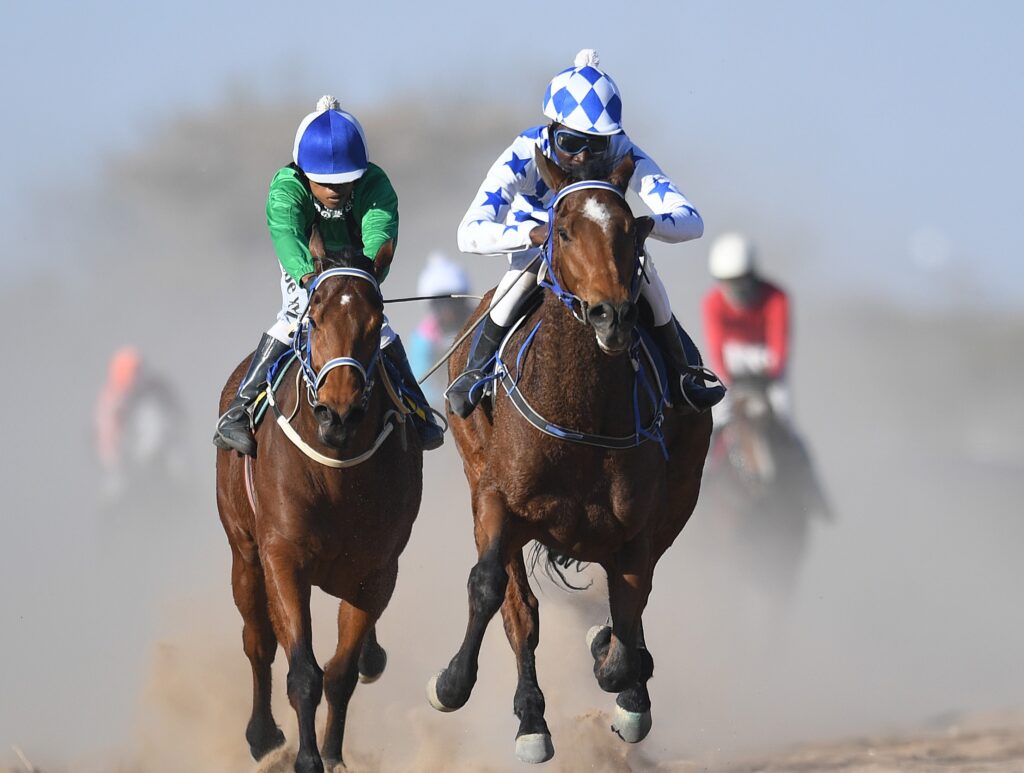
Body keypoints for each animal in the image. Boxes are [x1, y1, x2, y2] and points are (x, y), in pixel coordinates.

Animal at [215, 246, 423, 773]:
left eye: (377, 319)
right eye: (314, 318)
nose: (338, 413)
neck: (337, 478)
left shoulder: (377, 571)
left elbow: (340, 672)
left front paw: (331, 755)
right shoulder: (283, 558)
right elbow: (303, 671)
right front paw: (305, 757)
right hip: (243, 551)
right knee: (258, 642)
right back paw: (263, 736)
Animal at [427, 150, 713, 764]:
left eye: (633, 229)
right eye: (563, 230)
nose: (612, 315)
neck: (581, 419)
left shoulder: (639, 527)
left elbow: (628, 619)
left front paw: (625, 685)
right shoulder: (497, 501)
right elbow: (493, 591)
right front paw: (453, 683)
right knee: (520, 611)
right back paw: (532, 720)